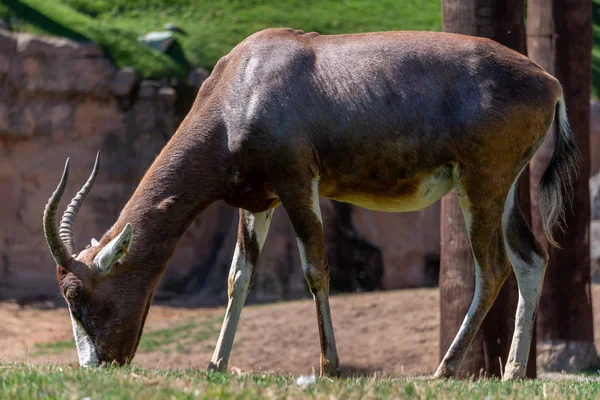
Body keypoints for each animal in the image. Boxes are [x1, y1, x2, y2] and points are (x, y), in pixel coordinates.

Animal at [42, 27, 576, 378]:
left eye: (75, 294)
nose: (96, 367)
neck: (246, 81)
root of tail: (549, 82)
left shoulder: (298, 184)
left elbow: (316, 269)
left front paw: (330, 366)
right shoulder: (257, 202)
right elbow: (238, 278)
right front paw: (216, 364)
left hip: (481, 185)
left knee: (494, 268)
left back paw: (443, 371)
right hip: (502, 190)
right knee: (530, 259)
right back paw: (511, 374)